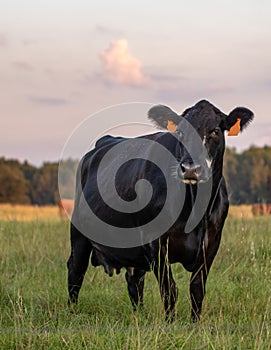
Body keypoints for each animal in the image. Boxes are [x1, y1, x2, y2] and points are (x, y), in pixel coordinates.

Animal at [68, 100, 255, 322]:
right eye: (180, 132)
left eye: (215, 131)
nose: (190, 169)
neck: (196, 208)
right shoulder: (154, 241)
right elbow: (169, 289)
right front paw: (170, 322)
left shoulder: (212, 242)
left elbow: (197, 288)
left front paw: (195, 323)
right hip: (79, 234)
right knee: (75, 270)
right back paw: (70, 312)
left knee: (134, 280)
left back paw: (139, 314)